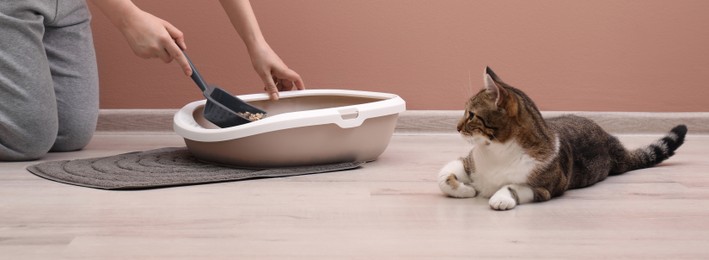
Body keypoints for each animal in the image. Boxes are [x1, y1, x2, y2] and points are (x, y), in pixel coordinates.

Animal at [436, 66, 684, 210]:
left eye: (471, 115)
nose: (456, 127)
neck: (497, 151)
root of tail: (613, 143)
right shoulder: (468, 161)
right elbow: (442, 177)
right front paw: (467, 189)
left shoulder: (547, 187)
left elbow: (513, 186)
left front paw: (500, 197)